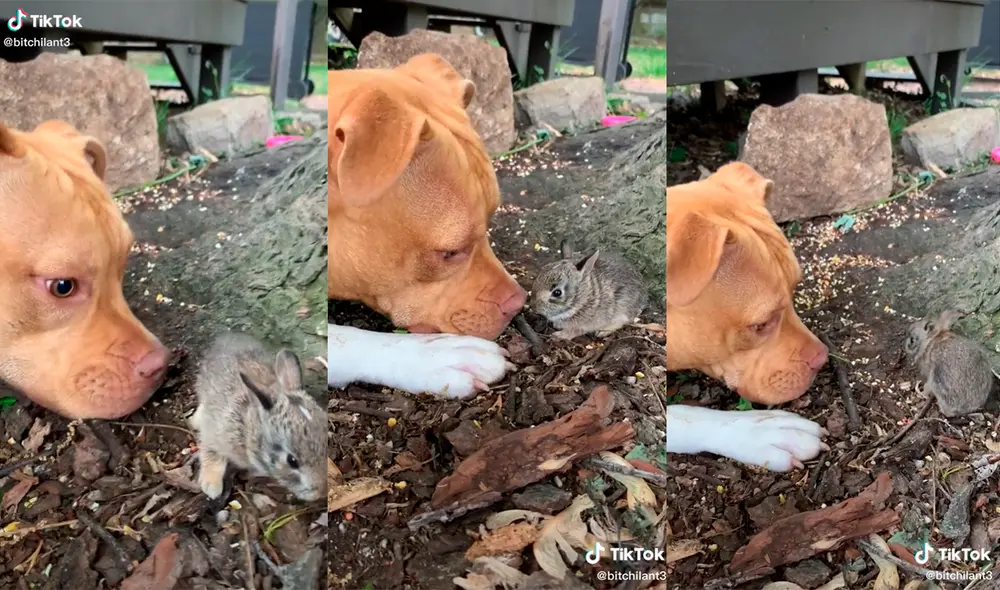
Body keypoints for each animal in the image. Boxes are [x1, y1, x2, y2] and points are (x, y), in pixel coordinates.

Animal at [190, 332, 326, 502]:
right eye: (292, 461)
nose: (321, 492)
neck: (248, 429)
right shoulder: (214, 431)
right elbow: (211, 452)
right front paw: (212, 487)